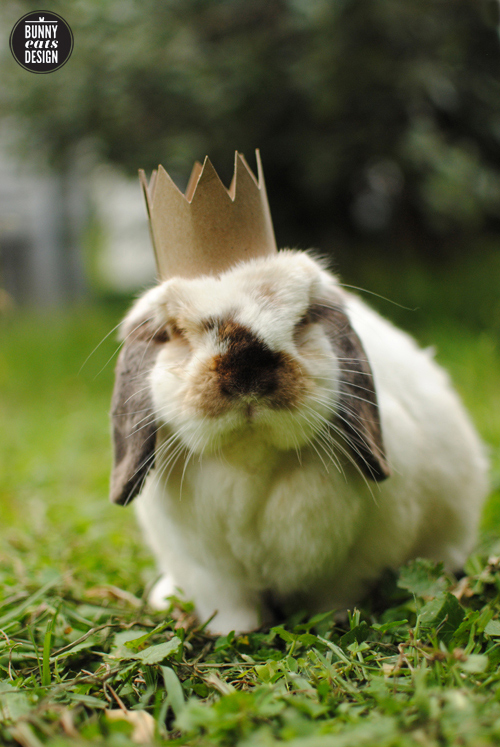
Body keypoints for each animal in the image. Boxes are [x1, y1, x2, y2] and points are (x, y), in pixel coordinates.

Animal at [110, 250, 489, 634]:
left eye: (303, 320)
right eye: (175, 334)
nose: (247, 368)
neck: (251, 458)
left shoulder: (351, 562)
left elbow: (334, 596)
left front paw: (331, 622)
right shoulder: (209, 574)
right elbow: (231, 608)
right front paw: (234, 632)